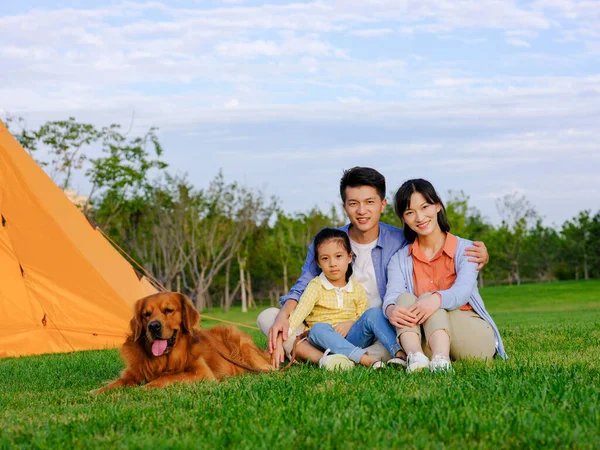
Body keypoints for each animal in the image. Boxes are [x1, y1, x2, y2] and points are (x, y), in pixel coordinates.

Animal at [92, 292, 270, 390]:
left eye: (168, 310)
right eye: (146, 314)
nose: (153, 326)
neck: (162, 360)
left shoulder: (201, 372)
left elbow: (166, 378)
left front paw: (145, 388)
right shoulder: (133, 372)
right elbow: (114, 384)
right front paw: (96, 393)